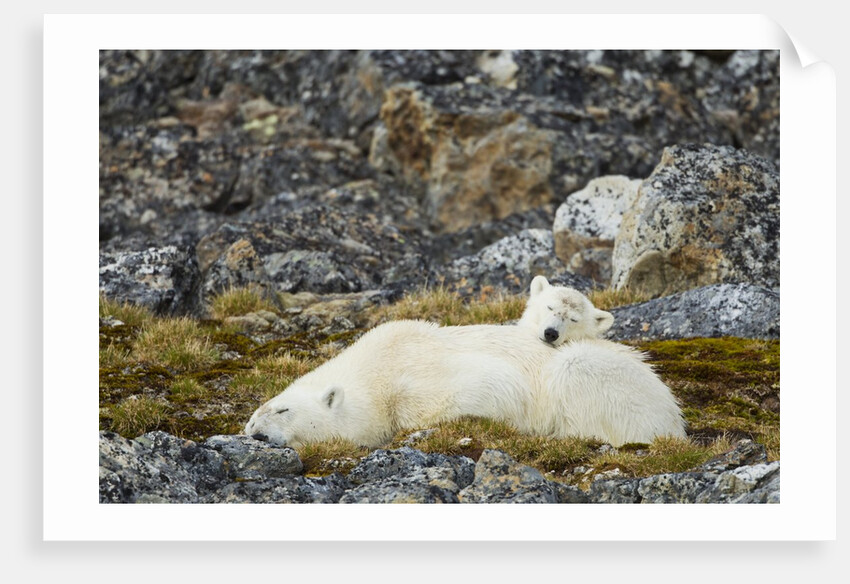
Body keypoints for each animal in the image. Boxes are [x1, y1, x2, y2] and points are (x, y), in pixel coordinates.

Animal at [244, 319, 685, 449]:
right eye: (253, 415)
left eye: (283, 409)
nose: (254, 434)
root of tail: (674, 417)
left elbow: (493, 386)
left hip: (596, 376)